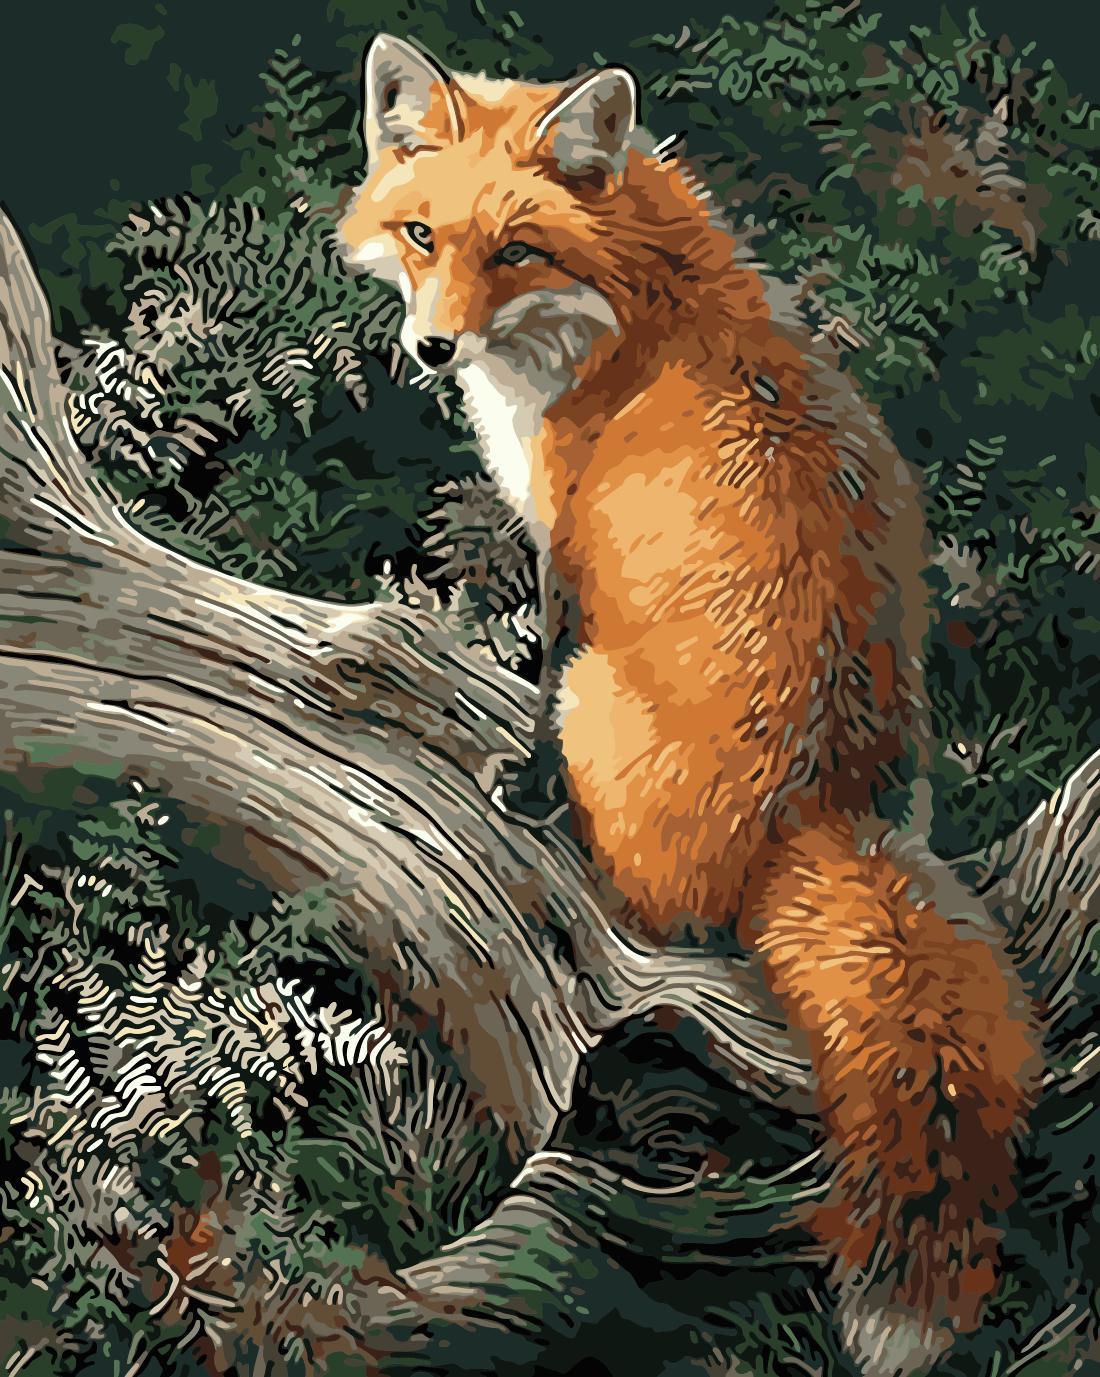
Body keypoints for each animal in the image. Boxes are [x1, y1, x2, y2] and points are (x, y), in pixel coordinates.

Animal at [337, 33, 1040, 1377]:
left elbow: (538, 673)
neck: (637, 303)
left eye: (515, 249)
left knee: (648, 902)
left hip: (605, 704)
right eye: (420, 234)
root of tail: (821, 816)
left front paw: (520, 785)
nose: (432, 351)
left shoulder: (564, 545)